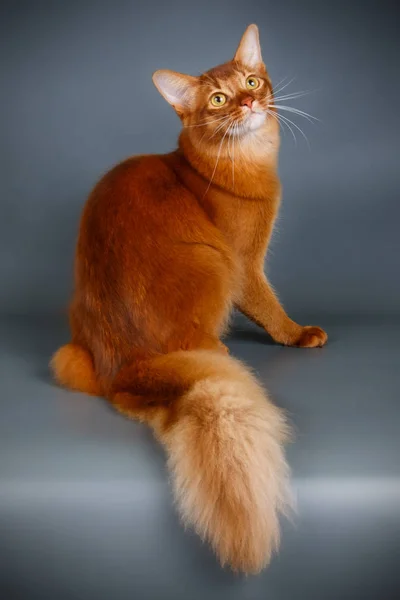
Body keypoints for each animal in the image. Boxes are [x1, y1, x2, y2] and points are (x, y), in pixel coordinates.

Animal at [51, 25, 328, 576]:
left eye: (250, 81)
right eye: (218, 99)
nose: (248, 102)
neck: (241, 162)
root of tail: (125, 367)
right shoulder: (243, 266)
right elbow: (268, 307)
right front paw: (297, 334)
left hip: (72, 350)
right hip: (210, 260)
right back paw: (219, 350)